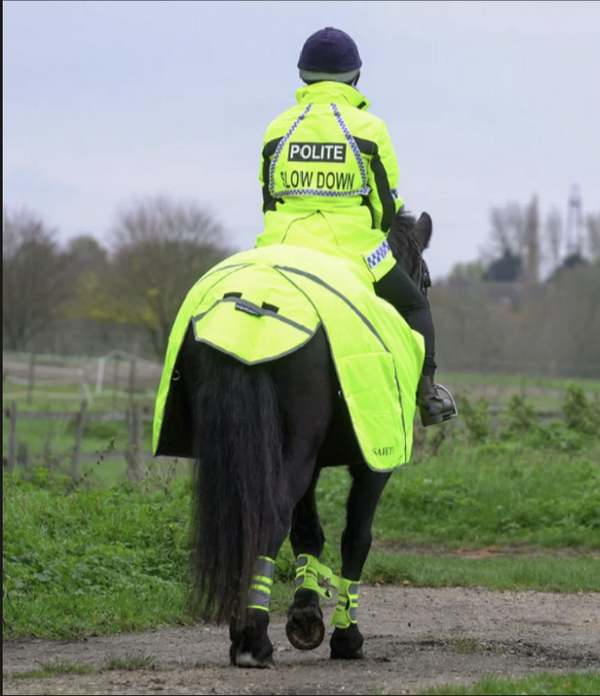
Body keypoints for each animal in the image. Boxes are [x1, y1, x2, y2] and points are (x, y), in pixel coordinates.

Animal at [174, 209, 434, 668]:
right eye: (426, 280)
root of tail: (248, 306)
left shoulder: (311, 465)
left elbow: (308, 532)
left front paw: (305, 615)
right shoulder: (372, 463)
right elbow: (356, 538)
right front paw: (346, 636)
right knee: (269, 518)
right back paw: (254, 641)